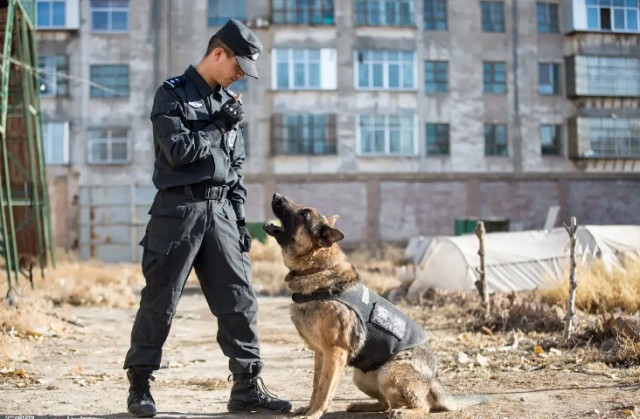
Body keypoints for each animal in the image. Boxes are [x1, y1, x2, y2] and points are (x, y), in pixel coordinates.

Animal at [262, 194, 488, 419]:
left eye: (304, 213)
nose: (276, 196)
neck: (317, 270)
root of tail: (434, 378)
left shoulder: (334, 353)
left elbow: (324, 388)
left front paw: (314, 413)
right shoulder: (320, 354)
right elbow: (316, 386)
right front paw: (309, 408)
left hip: (389, 373)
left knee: (422, 406)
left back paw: (403, 412)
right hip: (361, 377)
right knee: (384, 403)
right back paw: (363, 406)